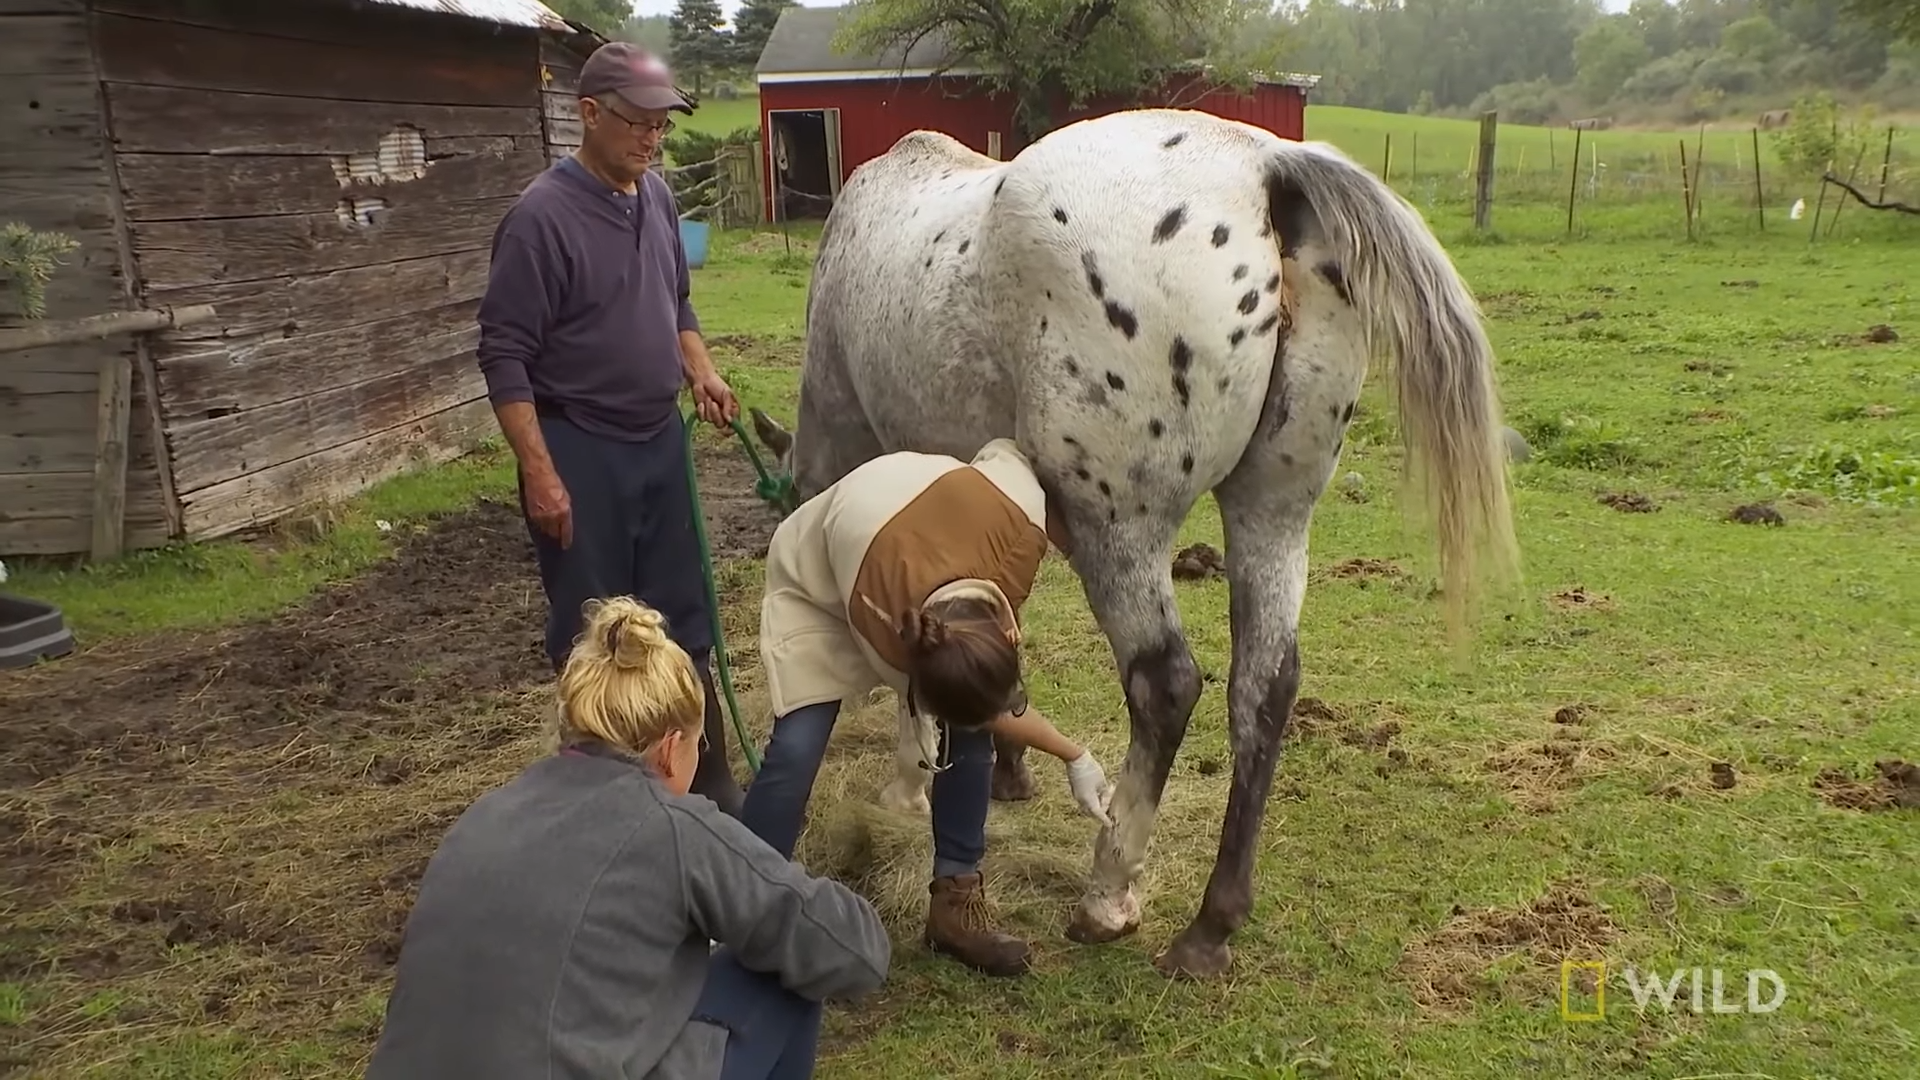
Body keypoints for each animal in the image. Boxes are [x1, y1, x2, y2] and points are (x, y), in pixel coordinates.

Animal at [748, 109, 1512, 976]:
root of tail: (1264, 166)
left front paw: (910, 784)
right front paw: (1006, 768)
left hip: (1123, 533)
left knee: (1167, 686)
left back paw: (1107, 895)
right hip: (1273, 513)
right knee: (1265, 688)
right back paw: (1211, 927)